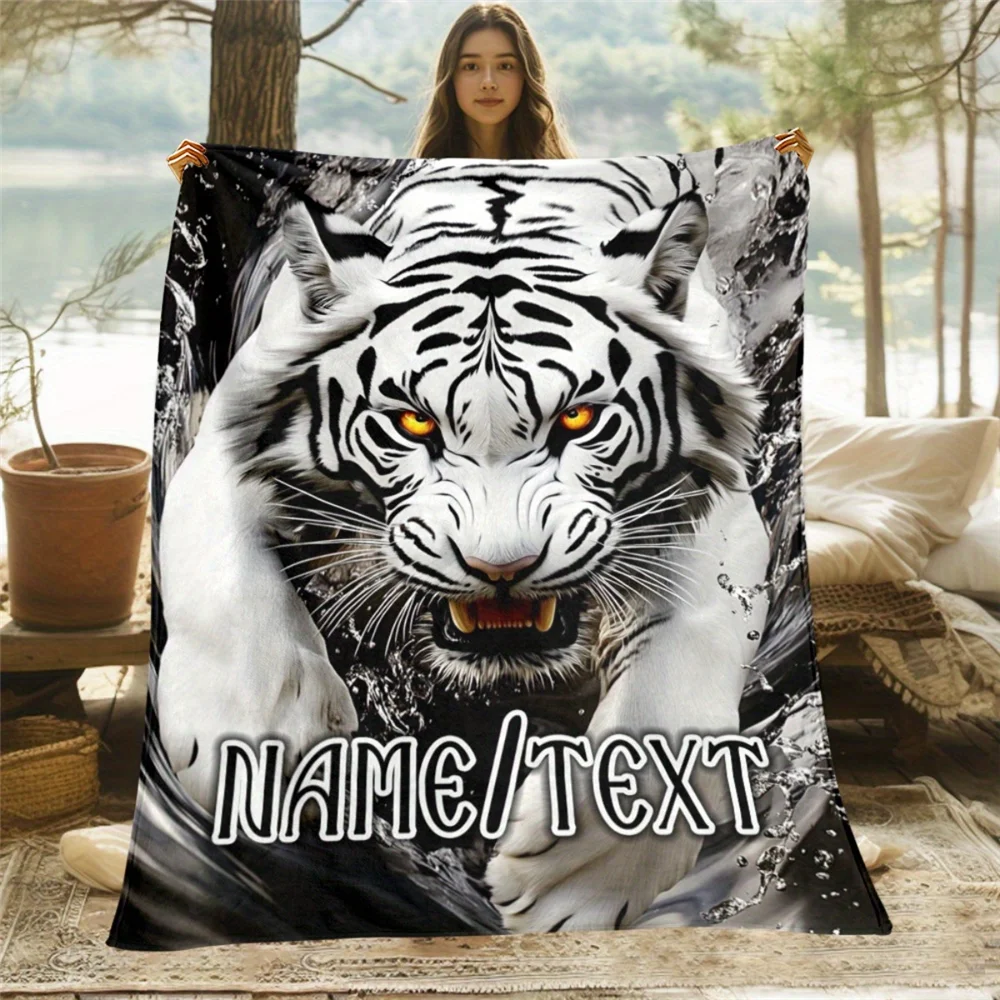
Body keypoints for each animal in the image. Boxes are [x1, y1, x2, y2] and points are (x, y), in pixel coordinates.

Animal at [155, 155, 770, 933]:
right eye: (414, 422)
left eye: (578, 418)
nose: (500, 567)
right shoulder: (227, 444)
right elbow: (227, 587)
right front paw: (259, 751)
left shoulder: (717, 507)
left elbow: (677, 675)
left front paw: (581, 878)